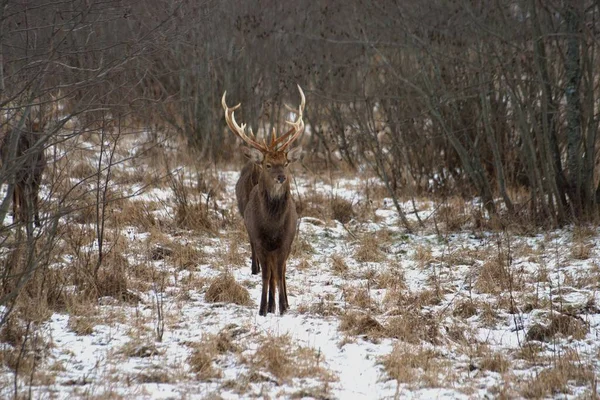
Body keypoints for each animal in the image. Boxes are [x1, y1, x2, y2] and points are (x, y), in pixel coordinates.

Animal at [220, 85, 304, 316]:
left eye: (285, 163)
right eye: (268, 164)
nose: (281, 177)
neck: (272, 225)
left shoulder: (285, 240)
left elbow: (280, 271)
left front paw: (282, 306)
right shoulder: (258, 239)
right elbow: (267, 275)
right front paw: (264, 307)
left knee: (281, 270)